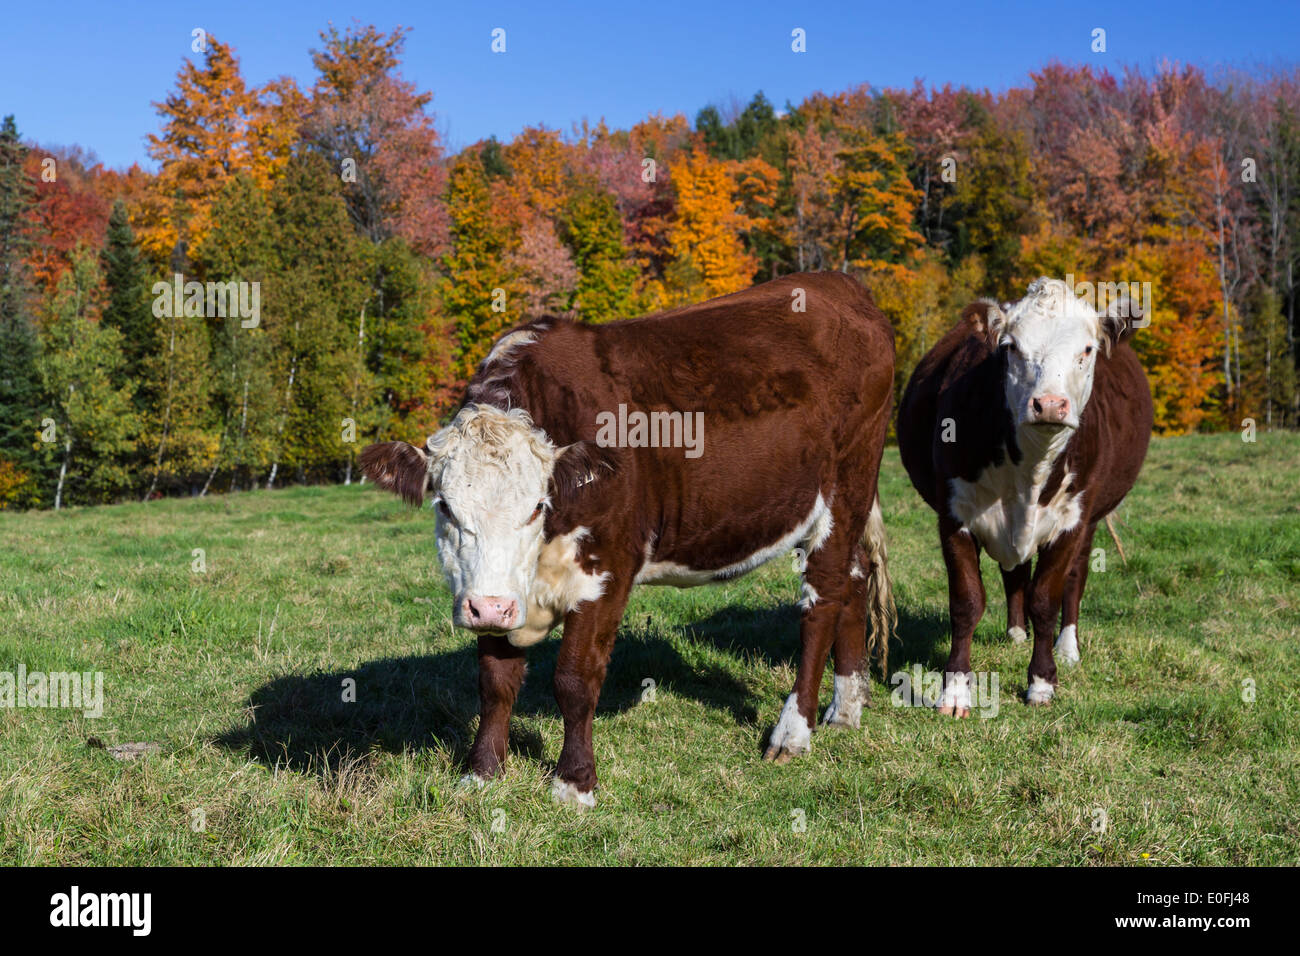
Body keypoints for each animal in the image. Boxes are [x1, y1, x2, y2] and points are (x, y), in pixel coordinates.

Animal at [361, 270, 899, 806]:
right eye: (445, 506)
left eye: (537, 506)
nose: (489, 608)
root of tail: (841, 284)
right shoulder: (497, 590)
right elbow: (495, 681)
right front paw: (482, 772)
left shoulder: (608, 569)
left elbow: (575, 679)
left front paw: (574, 783)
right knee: (854, 581)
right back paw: (846, 709)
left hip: (845, 487)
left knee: (823, 601)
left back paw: (793, 732)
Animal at [899, 277, 1154, 717]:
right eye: (1011, 347)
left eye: (1087, 350)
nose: (1049, 404)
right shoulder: (954, 515)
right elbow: (967, 601)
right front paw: (955, 690)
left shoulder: (1071, 521)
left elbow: (1046, 599)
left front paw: (1042, 682)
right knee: (1014, 571)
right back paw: (1016, 633)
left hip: (1090, 520)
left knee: (1074, 580)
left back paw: (1067, 648)